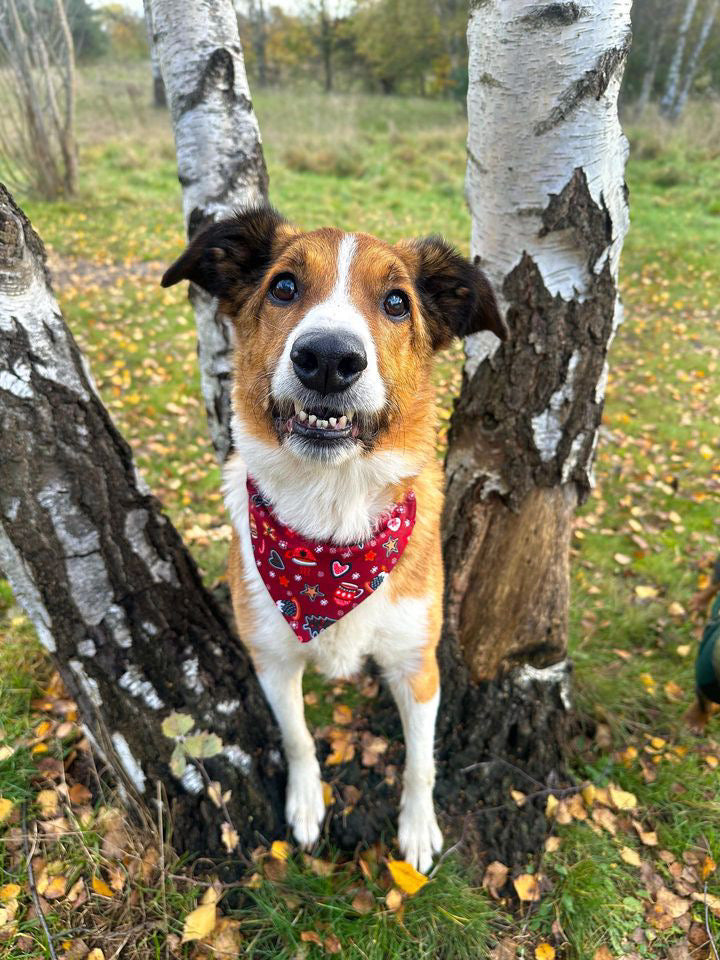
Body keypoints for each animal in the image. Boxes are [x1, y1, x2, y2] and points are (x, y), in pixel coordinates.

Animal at [162, 208, 506, 872]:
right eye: (284, 287)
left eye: (397, 302)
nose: (326, 358)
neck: (331, 521)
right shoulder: (272, 660)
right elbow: (297, 737)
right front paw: (304, 804)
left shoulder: (417, 664)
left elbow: (421, 762)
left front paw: (417, 829)